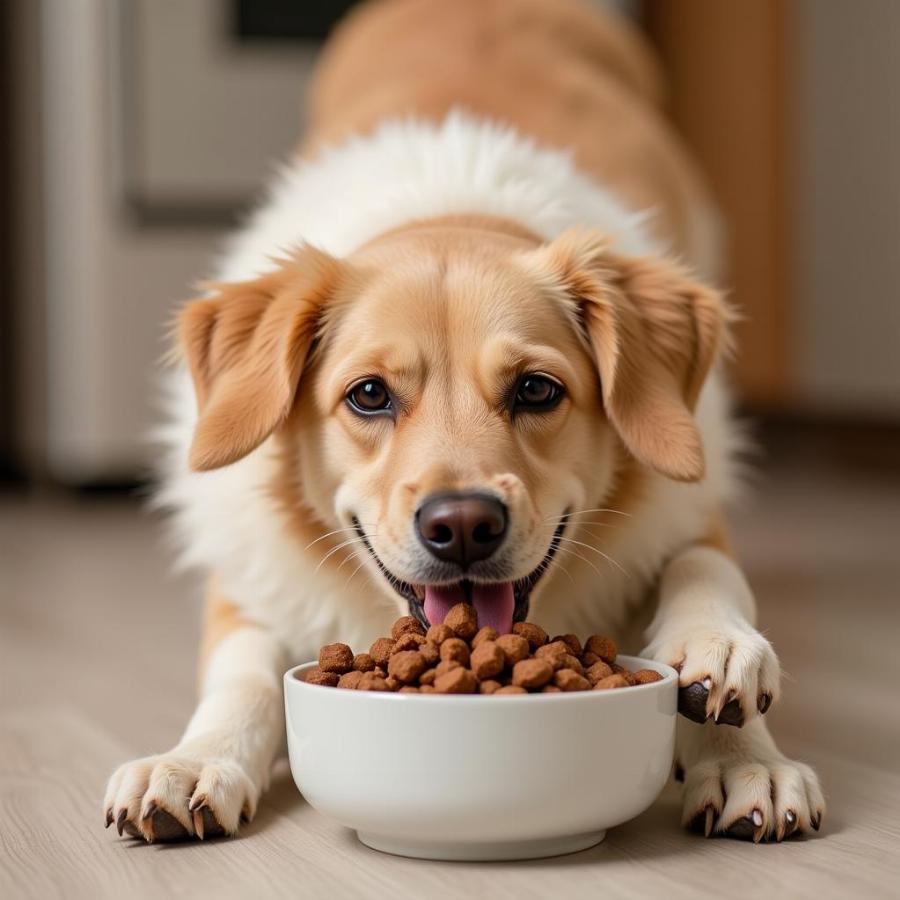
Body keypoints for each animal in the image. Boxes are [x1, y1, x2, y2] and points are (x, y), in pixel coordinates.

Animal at [103, 0, 824, 844]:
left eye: (538, 390)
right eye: (369, 395)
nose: (463, 528)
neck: (452, 213)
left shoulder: (689, 503)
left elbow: (706, 570)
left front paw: (738, 724)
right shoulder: (251, 580)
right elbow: (241, 676)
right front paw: (194, 760)